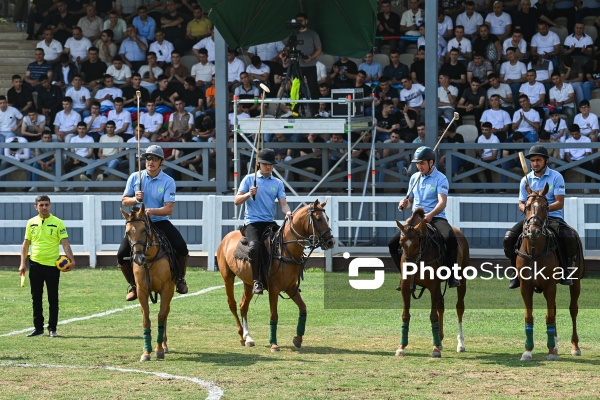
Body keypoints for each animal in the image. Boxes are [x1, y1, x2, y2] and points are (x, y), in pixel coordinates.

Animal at [120, 205, 175, 360]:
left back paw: (164, 345)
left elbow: (161, 316)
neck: (150, 259)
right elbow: (146, 319)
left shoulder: (167, 289)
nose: (138, 258)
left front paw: (159, 350)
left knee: (166, 313)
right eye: (127, 232)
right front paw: (146, 352)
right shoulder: (142, 291)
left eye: (144, 230)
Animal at [217, 198, 338, 352]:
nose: (331, 242)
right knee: (232, 303)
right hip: (227, 276)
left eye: (327, 218)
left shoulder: (291, 287)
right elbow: (274, 315)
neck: (285, 250)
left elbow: (303, 308)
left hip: (248, 282)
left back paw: (248, 337)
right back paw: (241, 336)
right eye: (318, 218)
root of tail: (226, 238)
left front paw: (298, 338)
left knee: (243, 305)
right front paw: (274, 344)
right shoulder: (274, 289)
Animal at [394, 208, 468, 358]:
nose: (409, 268)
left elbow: (433, 315)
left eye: (417, 243)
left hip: (462, 280)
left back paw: (460, 344)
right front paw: (401, 347)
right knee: (441, 305)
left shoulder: (433, 285)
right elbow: (405, 315)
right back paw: (439, 340)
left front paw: (435, 350)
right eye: (401, 242)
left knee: (459, 307)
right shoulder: (406, 287)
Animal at [516, 183, 584, 360]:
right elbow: (529, 316)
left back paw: (575, 346)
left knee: (573, 309)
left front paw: (551, 351)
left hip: (576, 281)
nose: (533, 231)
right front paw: (528, 351)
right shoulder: (525, 287)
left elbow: (550, 315)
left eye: (545, 207)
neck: (534, 250)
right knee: (554, 306)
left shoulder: (550, 285)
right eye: (527, 206)